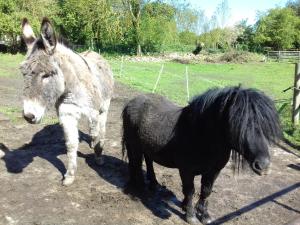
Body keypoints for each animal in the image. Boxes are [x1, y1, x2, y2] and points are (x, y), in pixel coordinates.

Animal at [122, 85, 282, 223]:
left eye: (265, 125)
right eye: (239, 123)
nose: (263, 165)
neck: (201, 136)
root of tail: (131, 102)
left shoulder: (213, 171)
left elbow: (206, 191)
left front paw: (203, 214)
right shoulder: (186, 171)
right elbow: (190, 191)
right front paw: (190, 215)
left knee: (148, 160)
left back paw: (154, 183)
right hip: (133, 145)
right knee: (135, 161)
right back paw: (137, 185)